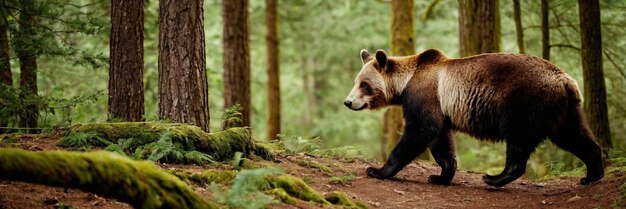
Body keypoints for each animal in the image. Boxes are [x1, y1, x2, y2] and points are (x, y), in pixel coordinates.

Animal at [344, 48, 604, 186]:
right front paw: (440, 175)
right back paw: (592, 175)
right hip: (565, 110)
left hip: (527, 102)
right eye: (356, 81)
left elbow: (420, 130)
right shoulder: (442, 106)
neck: (406, 81)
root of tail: (566, 81)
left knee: (519, 140)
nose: (348, 102)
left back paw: (495, 178)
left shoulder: (424, 94)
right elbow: (441, 140)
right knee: (573, 135)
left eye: (364, 84)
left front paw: (377, 170)